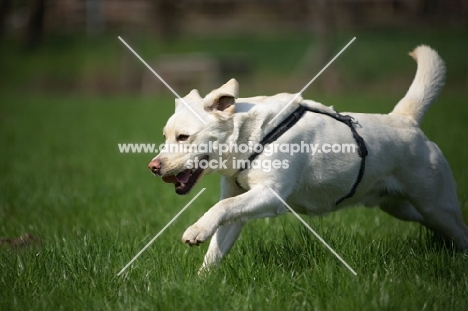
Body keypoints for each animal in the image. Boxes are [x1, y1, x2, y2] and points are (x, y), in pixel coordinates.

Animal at [149, 46, 468, 272]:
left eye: (183, 137)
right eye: (165, 136)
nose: (153, 167)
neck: (252, 137)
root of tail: (406, 120)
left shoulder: (271, 195)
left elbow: (220, 208)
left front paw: (196, 230)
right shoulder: (238, 203)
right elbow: (218, 242)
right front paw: (201, 283)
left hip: (437, 205)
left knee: (460, 231)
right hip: (402, 206)